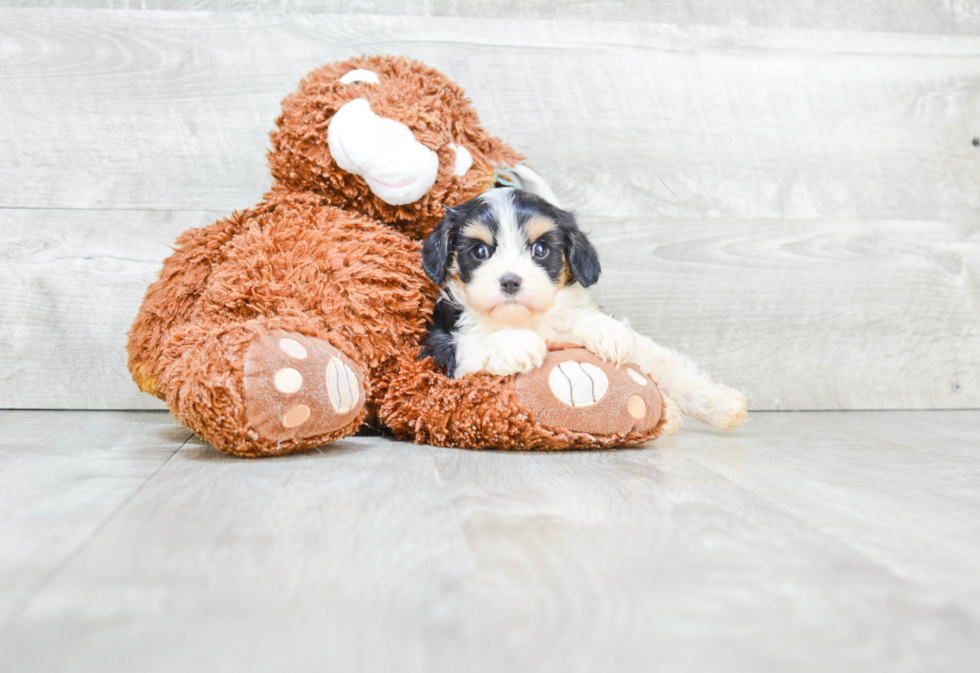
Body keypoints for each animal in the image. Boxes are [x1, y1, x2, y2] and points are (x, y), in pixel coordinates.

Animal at [418, 189, 748, 430]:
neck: (527, 318)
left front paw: (724, 405)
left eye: (540, 250)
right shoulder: (444, 350)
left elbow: (661, 364)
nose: (510, 281)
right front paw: (517, 343)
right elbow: (475, 344)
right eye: (480, 251)